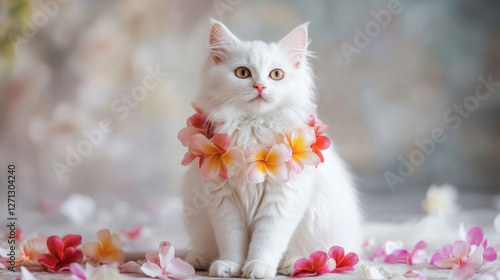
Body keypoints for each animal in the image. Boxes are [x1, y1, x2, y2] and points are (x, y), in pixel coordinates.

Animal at [182, 19, 362, 278]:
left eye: (276, 75)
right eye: (243, 73)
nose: (260, 86)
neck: (253, 126)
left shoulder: (283, 197)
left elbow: (267, 239)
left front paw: (259, 267)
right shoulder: (222, 199)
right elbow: (231, 239)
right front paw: (230, 265)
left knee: (322, 255)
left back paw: (294, 263)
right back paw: (199, 259)